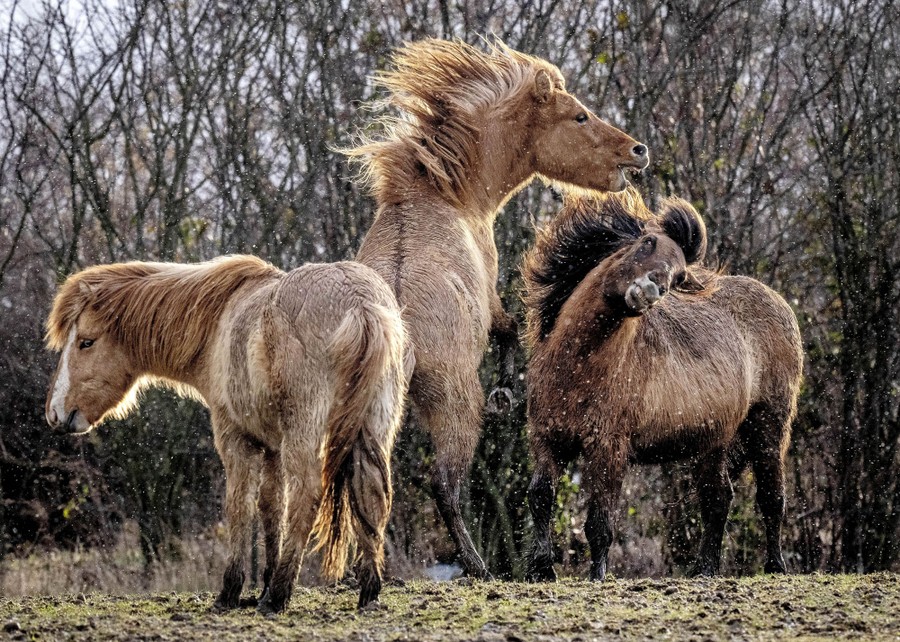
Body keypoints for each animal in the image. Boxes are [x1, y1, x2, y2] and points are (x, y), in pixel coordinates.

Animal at [44, 255, 410, 612]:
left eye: (86, 342)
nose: (55, 413)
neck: (218, 321)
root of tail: (361, 305)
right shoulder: (272, 447)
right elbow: (271, 506)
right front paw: (263, 584)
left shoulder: (235, 439)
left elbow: (239, 505)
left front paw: (232, 591)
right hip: (372, 429)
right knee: (372, 493)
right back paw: (367, 592)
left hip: (305, 433)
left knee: (307, 495)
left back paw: (279, 597)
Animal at [346, 38, 649, 578]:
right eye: (578, 116)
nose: (638, 151)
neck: (443, 198)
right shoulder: (488, 297)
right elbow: (508, 328)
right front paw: (506, 393)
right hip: (454, 406)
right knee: (445, 485)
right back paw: (478, 566)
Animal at [521, 188, 803, 582]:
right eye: (647, 242)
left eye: (680, 273)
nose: (651, 289)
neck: (576, 368)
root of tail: (779, 303)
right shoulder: (547, 440)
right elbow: (541, 498)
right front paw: (541, 569)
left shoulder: (608, 448)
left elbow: (599, 521)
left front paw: (597, 575)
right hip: (714, 442)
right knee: (718, 498)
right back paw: (704, 569)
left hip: (768, 426)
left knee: (771, 496)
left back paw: (775, 566)